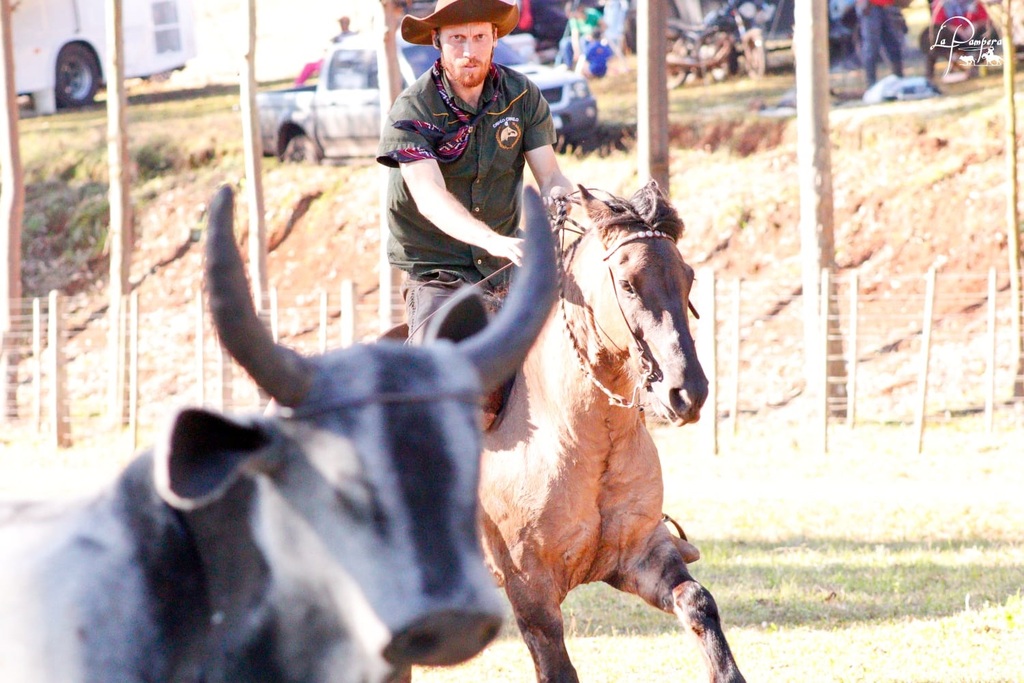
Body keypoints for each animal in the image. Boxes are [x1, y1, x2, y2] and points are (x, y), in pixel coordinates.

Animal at [479, 183, 745, 683]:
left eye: (688, 278)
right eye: (627, 285)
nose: (689, 391)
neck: (580, 438)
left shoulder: (642, 554)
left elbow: (698, 603)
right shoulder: (531, 592)